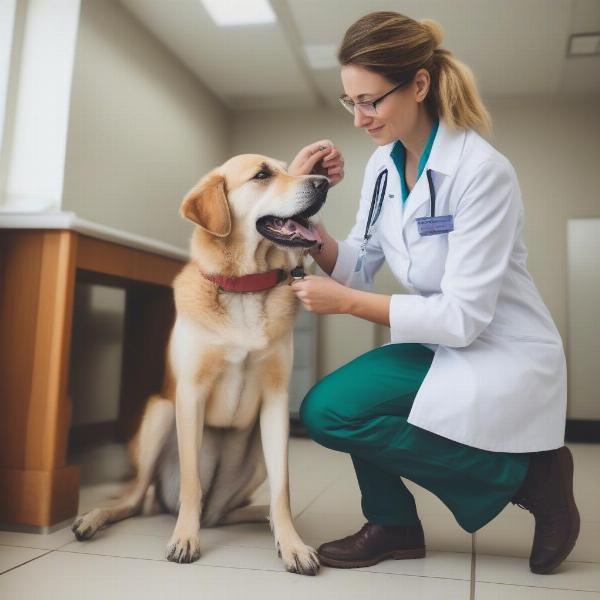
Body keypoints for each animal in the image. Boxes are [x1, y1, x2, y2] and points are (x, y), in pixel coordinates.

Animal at [72, 155, 330, 576]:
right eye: (262, 174)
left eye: (286, 168)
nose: (324, 182)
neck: (243, 287)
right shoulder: (190, 394)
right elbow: (191, 483)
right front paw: (185, 539)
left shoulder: (276, 402)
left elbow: (283, 490)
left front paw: (291, 542)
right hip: (160, 414)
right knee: (132, 500)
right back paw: (94, 519)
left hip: (254, 459)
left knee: (229, 511)